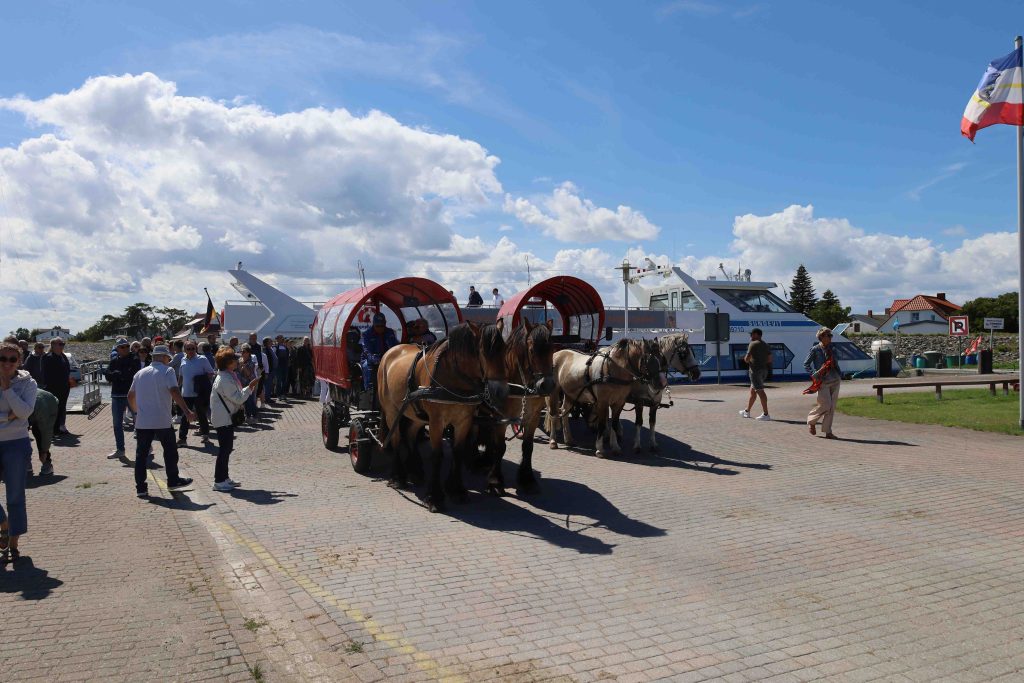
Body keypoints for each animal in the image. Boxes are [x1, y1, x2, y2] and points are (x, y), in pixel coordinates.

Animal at [376, 321, 507, 511]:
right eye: (483, 352)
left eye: (504, 349)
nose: (501, 392)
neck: (452, 377)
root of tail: (389, 352)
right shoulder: (436, 422)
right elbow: (437, 455)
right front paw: (434, 497)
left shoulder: (464, 421)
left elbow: (458, 452)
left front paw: (457, 490)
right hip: (392, 411)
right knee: (395, 439)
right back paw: (398, 477)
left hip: (416, 414)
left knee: (409, 434)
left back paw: (415, 471)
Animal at [481, 321, 557, 497]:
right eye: (532, 350)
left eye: (552, 349)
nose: (547, 385)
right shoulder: (501, 417)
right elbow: (500, 447)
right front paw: (495, 481)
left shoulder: (532, 417)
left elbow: (528, 447)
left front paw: (527, 479)